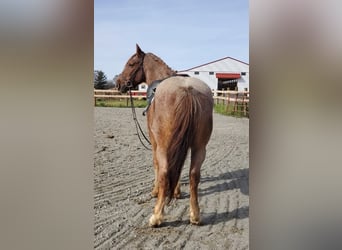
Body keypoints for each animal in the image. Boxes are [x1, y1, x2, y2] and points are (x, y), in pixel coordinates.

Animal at [117, 45, 214, 227]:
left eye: (131, 64)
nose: (118, 83)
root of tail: (187, 90)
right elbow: (179, 167)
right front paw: (176, 192)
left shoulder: (155, 142)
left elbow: (157, 165)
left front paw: (155, 191)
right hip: (200, 147)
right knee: (194, 175)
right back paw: (195, 216)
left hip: (163, 145)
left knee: (163, 172)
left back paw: (156, 216)